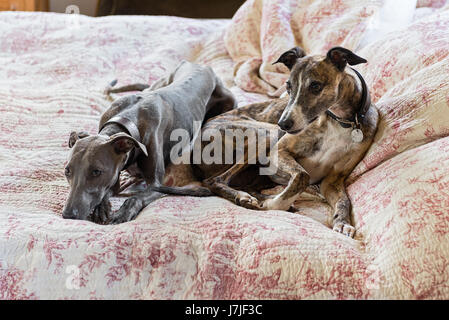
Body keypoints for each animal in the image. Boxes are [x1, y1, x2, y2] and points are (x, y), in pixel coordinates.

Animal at [65, 60, 238, 225]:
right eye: (67, 171)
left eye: (96, 172)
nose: (68, 215)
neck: (127, 119)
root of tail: (201, 66)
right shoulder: (115, 177)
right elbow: (107, 190)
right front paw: (102, 207)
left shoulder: (157, 185)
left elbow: (135, 197)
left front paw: (121, 213)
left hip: (230, 102)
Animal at [151, 47, 378, 238]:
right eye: (288, 86)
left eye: (315, 86)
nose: (284, 123)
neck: (341, 121)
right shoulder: (279, 151)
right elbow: (302, 176)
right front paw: (275, 204)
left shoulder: (333, 180)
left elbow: (343, 200)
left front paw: (342, 222)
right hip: (265, 133)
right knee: (215, 180)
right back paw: (246, 198)